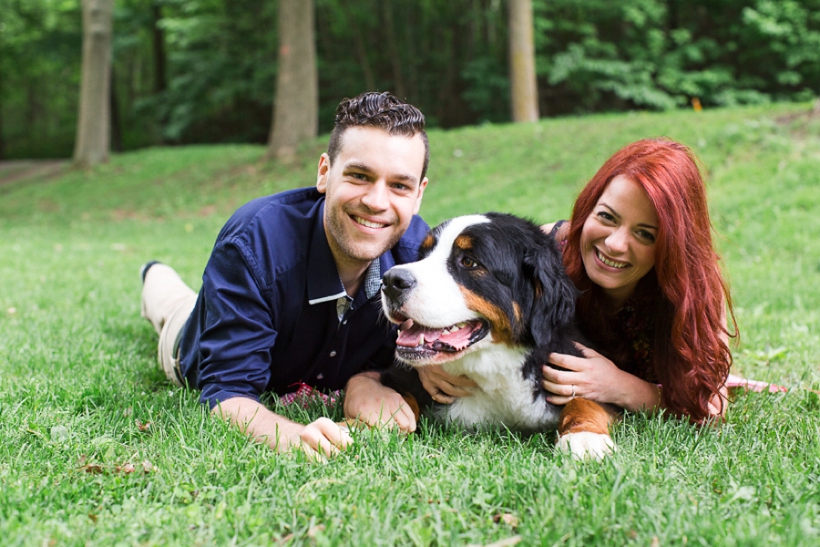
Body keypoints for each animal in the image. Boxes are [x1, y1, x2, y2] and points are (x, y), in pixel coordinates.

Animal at [378, 212, 616, 460]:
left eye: (469, 262)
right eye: (423, 256)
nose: (390, 280)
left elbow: (585, 401)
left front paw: (585, 438)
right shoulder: (401, 376)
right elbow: (398, 397)